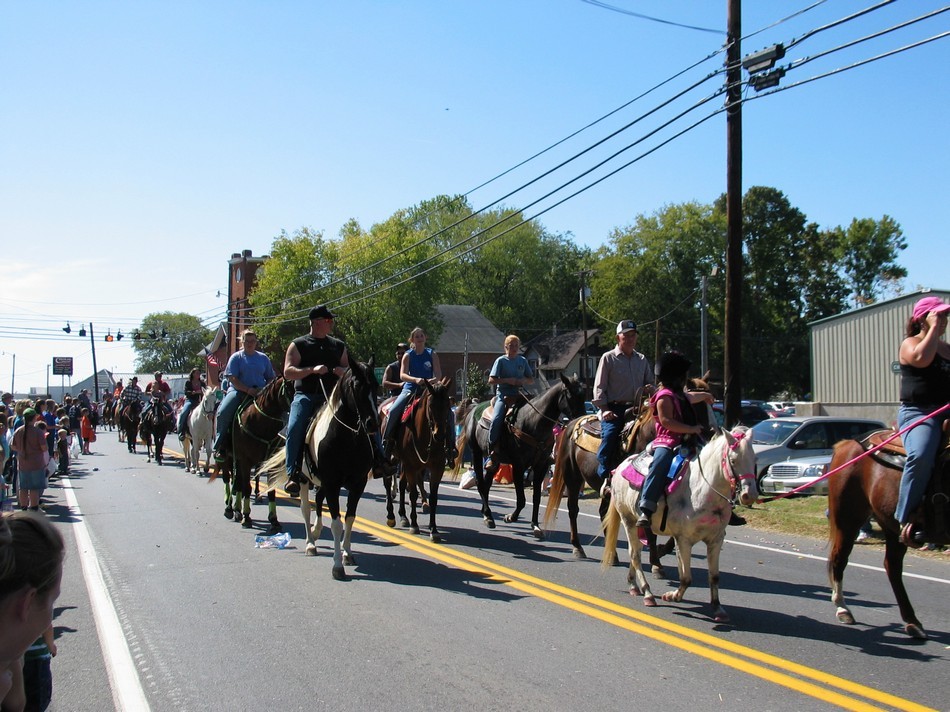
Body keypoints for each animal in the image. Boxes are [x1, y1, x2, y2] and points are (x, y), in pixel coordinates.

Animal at [262, 358, 382, 580]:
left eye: (376, 385)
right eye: (356, 385)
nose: (373, 424)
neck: (347, 438)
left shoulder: (357, 483)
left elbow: (349, 518)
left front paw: (347, 553)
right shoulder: (332, 483)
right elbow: (336, 523)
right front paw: (337, 566)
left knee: (318, 501)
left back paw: (317, 531)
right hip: (303, 479)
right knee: (306, 508)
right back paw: (310, 543)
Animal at [382, 378, 452, 540]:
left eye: (448, 405)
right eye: (431, 405)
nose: (440, 435)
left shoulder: (437, 467)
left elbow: (433, 497)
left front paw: (434, 529)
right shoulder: (411, 465)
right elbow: (413, 494)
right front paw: (414, 525)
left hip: (401, 460)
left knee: (401, 485)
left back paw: (403, 516)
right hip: (391, 457)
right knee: (388, 482)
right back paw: (391, 516)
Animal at [454, 376, 588, 536]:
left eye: (584, 395)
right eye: (570, 395)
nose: (581, 420)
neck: (532, 423)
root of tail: (473, 407)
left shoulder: (541, 466)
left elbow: (536, 498)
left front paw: (535, 525)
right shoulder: (518, 465)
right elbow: (522, 499)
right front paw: (510, 517)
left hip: (495, 461)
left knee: (486, 484)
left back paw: (486, 513)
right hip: (476, 453)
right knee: (480, 484)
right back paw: (488, 517)